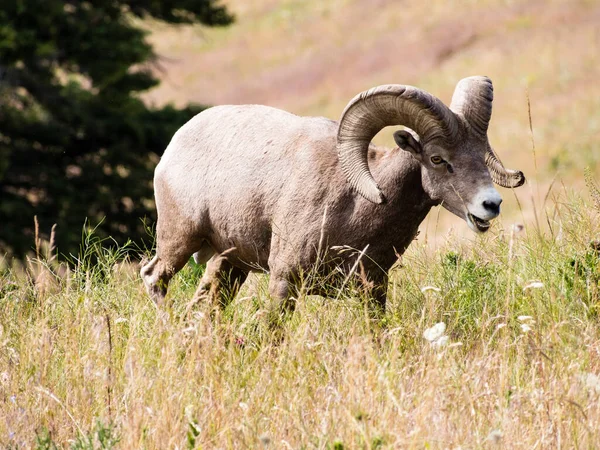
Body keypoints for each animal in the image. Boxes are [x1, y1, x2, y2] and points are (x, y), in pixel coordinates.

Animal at [139, 76, 520, 310]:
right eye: (437, 159)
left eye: (482, 152)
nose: (491, 204)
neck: (356, 208)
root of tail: (174, 146)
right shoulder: (284, 281)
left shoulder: (373, 290)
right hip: (180, 239)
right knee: (153, 277)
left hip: (227, 262)